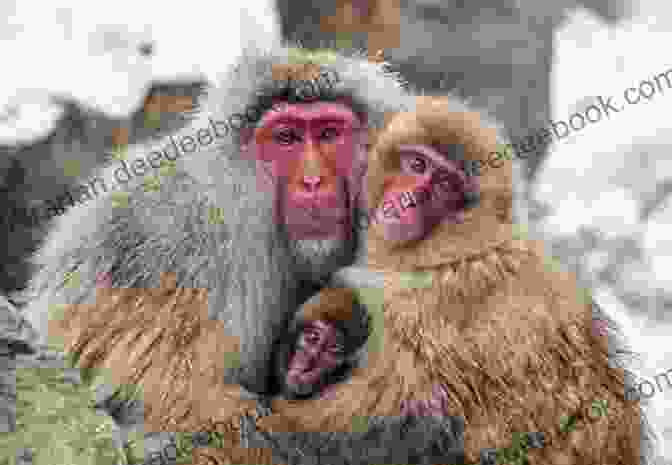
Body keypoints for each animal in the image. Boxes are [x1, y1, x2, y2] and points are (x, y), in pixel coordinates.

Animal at [258, 95, 656, 464]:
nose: (408, 199)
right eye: (417, 164)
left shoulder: (414, 307)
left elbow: (403, 422)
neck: (451, 250)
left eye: (445, 184)